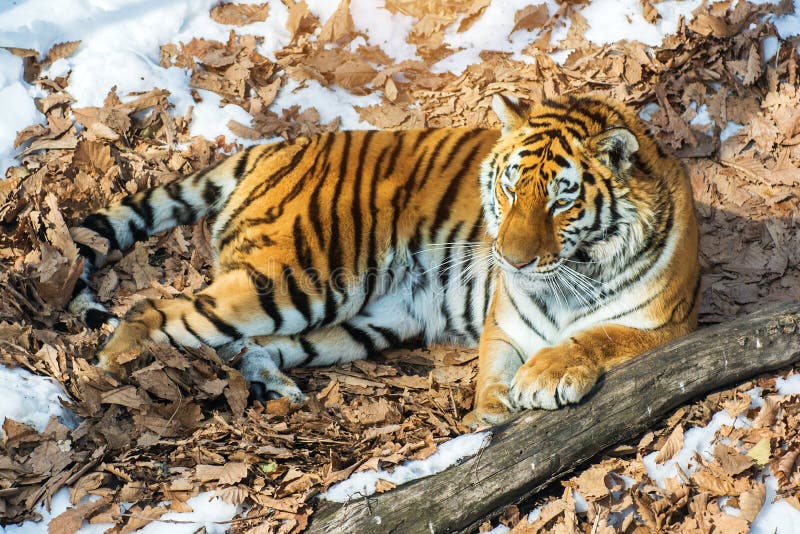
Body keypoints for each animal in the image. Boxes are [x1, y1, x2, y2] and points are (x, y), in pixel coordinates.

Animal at [69, 94, 696, 430]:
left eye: (561, 200)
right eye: (511, 186)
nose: (510, 261)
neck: (574, 274)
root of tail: (278, 146)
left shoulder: (671, 325)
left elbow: (600, 336)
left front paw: (543, 377)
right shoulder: (504, 324)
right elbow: (493, 373)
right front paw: (490, 415)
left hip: (360, 322)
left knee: (243, 346)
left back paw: (278, 389)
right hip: (301, 281)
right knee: (154, 311)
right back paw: (105, 377)